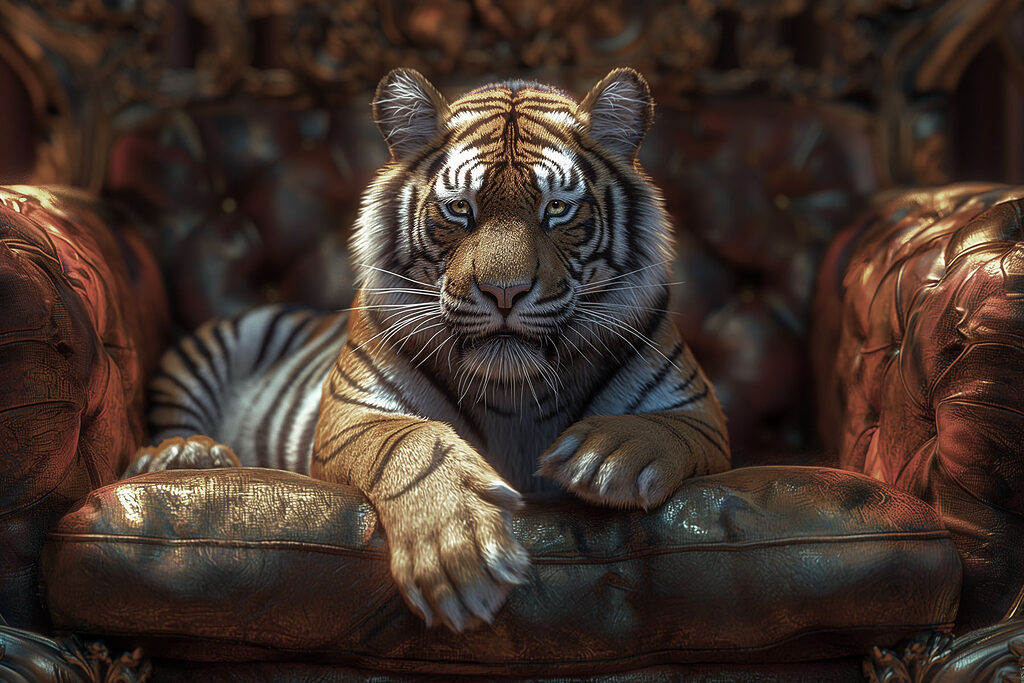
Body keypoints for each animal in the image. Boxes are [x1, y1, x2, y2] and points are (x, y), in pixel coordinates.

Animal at [127, 67, 730, 633]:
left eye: (557, 208)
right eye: (460, 209)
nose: (505, 291)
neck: (515, 393)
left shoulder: (699, 414)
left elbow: (661, 430)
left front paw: (604, 456)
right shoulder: (352, 415)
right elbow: (416, 444)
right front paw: (458, 554)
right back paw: (187, 455)